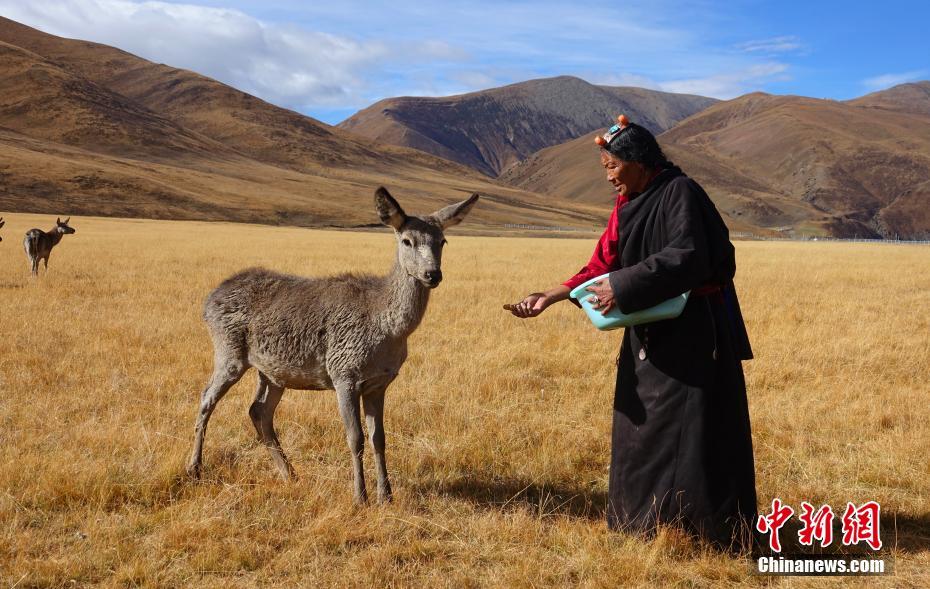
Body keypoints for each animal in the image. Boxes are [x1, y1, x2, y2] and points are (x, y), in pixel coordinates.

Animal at [187, 186, 478, 504]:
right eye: (407, 240)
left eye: (443, 241)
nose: (432, 274)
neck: (388, 331)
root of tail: (207, 302)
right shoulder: (343, 372)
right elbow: (355, 438)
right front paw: (360, 497)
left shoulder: (379, 383)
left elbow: (379, 438)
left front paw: (386, 496)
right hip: (228, 349)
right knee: (206, 397)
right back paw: (194, 468)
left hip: (273, 371)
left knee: (258, 411)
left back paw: (290, 473)